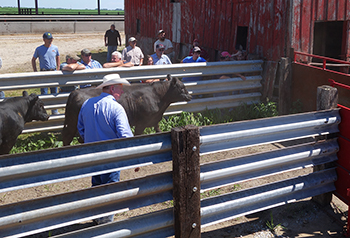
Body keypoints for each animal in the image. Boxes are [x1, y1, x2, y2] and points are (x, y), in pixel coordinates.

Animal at [61, 74, 190, 145]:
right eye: (182, 87)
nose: (189, 96)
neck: (157, 95)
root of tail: (75, 92)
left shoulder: (154, 121)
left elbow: (158, 131)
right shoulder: (141, 124)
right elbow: (137, 135)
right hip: (73, 124)